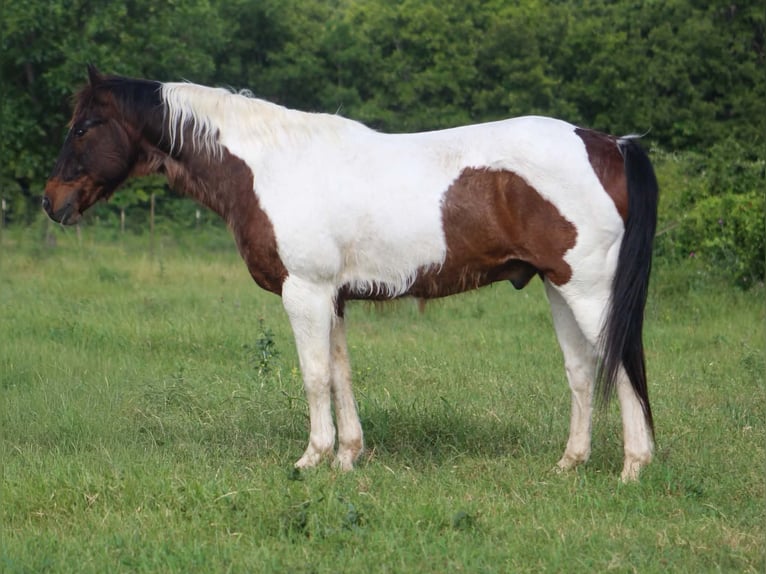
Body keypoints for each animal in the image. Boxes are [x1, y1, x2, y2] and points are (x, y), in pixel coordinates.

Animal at [44, 66, 658, 481]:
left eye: (84, 127)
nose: (52, 202)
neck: (270, 166)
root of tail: (610, 144)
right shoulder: (332, 298)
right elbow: (341, 374)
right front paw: (346, 457)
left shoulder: (304, 292)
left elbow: (314, 376)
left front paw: (310, 459)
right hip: (558, 287)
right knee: (581, 372)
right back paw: (570, 463)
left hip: (589, 291)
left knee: (622, 367)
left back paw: (633, 467)